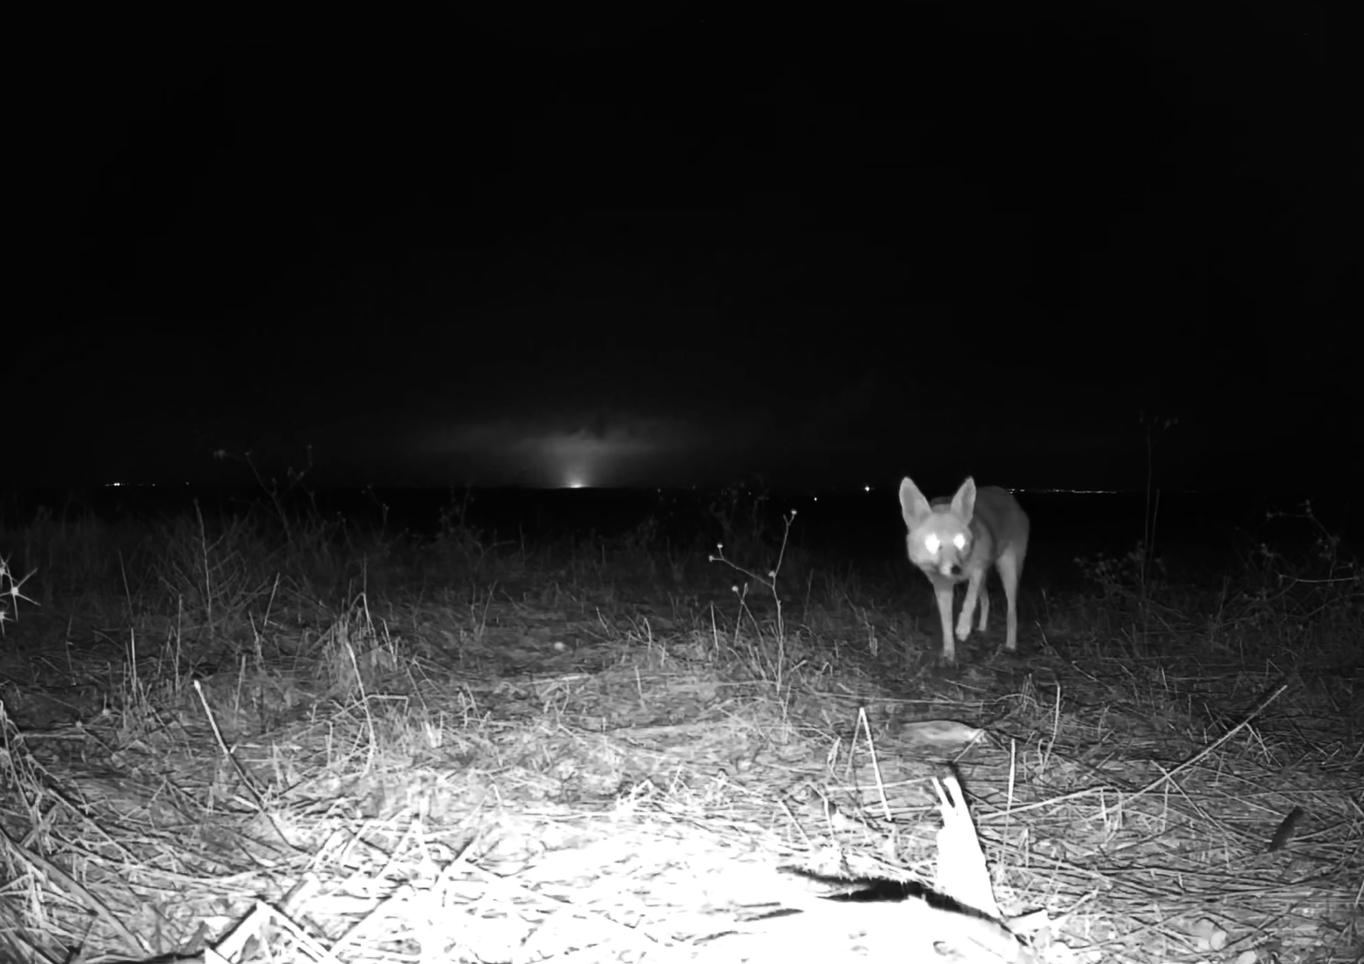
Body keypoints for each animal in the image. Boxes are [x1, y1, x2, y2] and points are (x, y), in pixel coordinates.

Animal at [898, 476, 1030, 662]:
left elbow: (969, 599)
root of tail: (1009, 496)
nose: (955, 570)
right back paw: (982, 628)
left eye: (959, 541)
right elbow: (946, 623)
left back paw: (1010, 644)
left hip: (1007, 571)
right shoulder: (942, 586)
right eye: (933, 543)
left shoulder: (977, 569)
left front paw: (963, 627)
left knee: (1012, 611)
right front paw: (949, 653)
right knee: (986, 600)